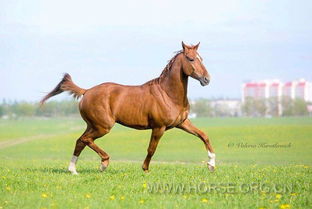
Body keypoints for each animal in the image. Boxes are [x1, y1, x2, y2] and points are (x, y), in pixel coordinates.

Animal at [40, 41, 216, 174]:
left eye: (201, 58)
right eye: (191, 59)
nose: (207, 79)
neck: (168, 94)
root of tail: (87, 91)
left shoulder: (182, 123)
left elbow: (204, 135)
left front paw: (211, 165)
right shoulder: (159, 127)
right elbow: (151, 149)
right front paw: (145, 169)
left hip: (93, 125)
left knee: (80, 141)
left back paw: (73, 170)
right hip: (103, 126)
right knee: (85, 139)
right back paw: (103, 163)